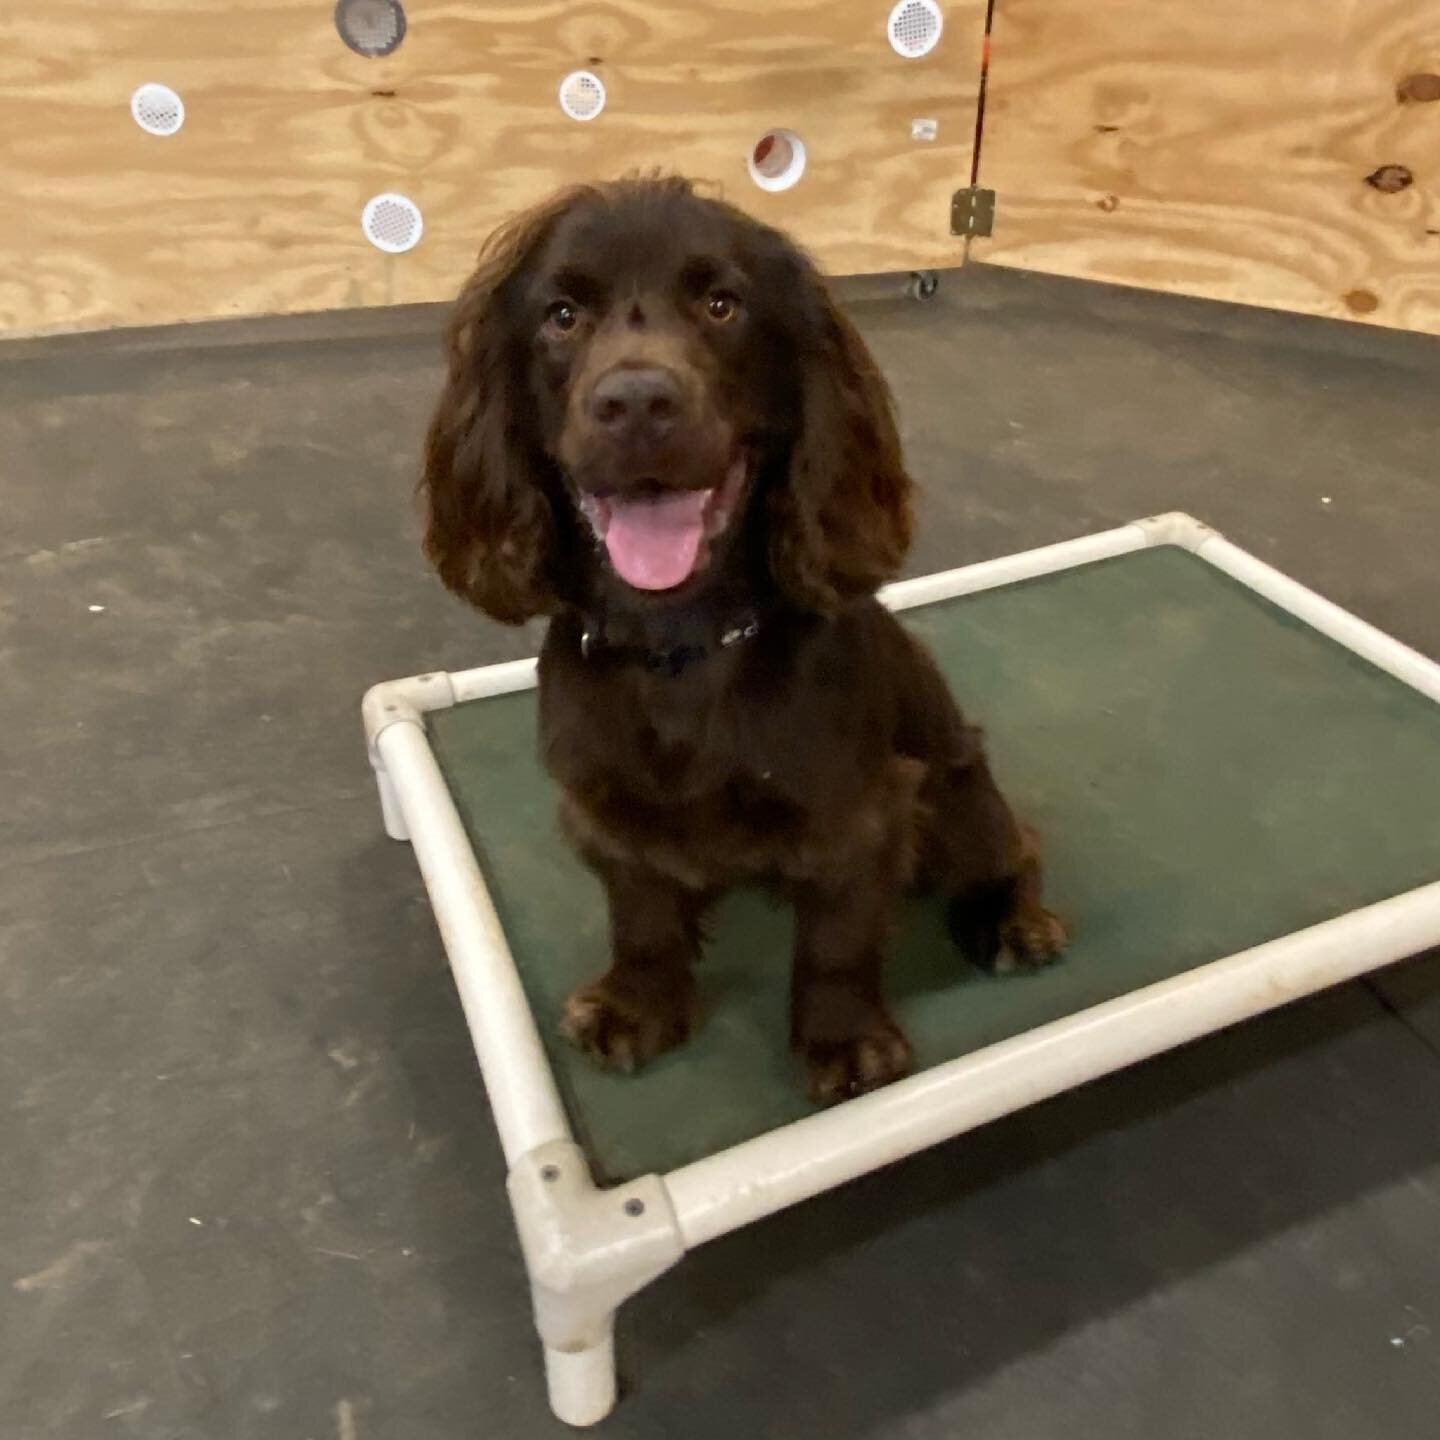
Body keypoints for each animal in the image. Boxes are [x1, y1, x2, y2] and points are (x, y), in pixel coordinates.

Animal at [420, 180, 1065, 1100]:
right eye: (562, 315)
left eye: (722, 305)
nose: (638, 403)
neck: (682, 645)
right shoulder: (606, 812)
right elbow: (643, 917)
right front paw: (638, 1006)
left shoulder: (859, 810)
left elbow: (836, 939)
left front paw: (843, 1040)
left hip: (958, 795)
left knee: (1015, 844)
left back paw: (1011, 919)